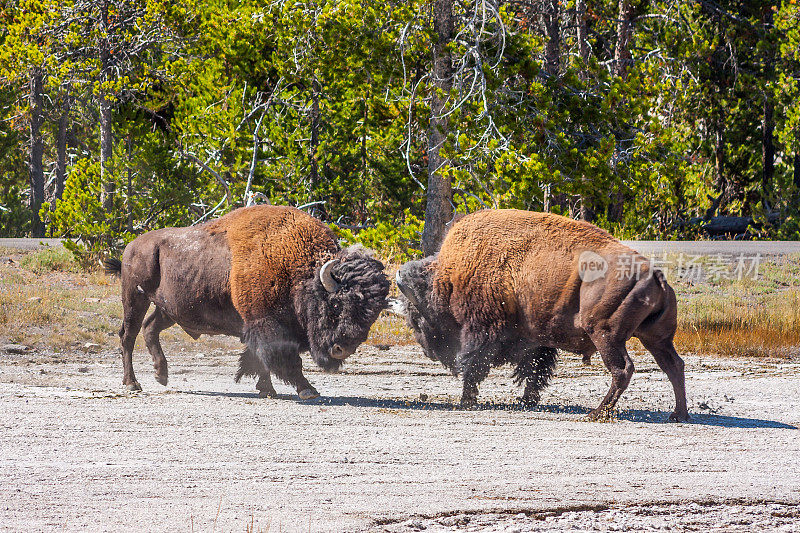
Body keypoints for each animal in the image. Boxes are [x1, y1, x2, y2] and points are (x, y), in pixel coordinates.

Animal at [103, 204, 390, 400]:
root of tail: (132, 246)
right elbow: (281, 359)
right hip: (135, 297)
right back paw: (132, 383)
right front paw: (307, 389)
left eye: (372, 315)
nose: (342, 350)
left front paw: (267, 390)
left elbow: (259, 359)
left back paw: (161, 375)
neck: (298, 270)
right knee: (128, 335)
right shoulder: (266, 326)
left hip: (169, 309)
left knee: (150, 328)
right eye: (336, 304)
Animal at [396, 208, 692, 420]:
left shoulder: (482, 331)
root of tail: (654, 274)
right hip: (656, 338)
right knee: (674, 365)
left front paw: (466, 400)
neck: (448, 278)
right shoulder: (536, 340)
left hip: (605, 335)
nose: (428, 352)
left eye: (417, 318)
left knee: (623, 369)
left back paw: (596, 413)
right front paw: (527, 400)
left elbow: (473, 365)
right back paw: (678, 415)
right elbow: (534, 371)